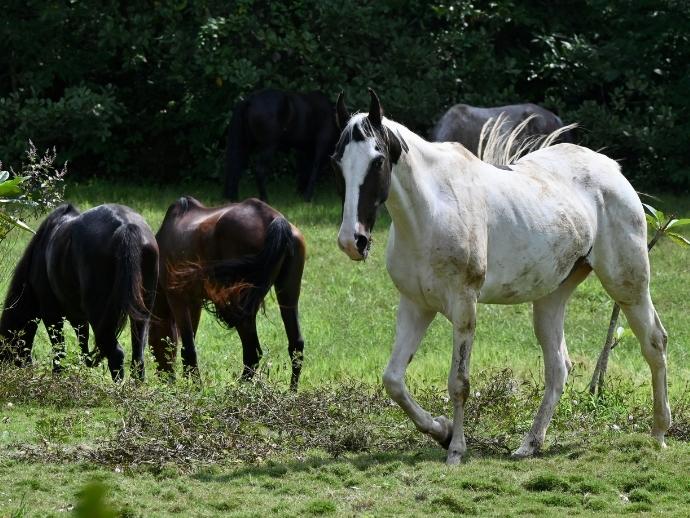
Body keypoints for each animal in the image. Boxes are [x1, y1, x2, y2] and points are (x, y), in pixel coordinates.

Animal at [0, 204, 159, 381]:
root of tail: (126, 226)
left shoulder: (51, 313)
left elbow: (59, 349)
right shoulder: (78, 317)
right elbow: (83, 344)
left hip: (98, 314)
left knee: (116, 353)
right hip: (141, 312)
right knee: (138, 357)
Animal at [149, 196, 306, 390]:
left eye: (152, 343)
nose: (164, 378)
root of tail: (275, 219)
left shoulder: (177, 298)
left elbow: (188, 348)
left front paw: (195, 387)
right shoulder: (194, 303)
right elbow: (189, 346)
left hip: (241, 304)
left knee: (252, 353)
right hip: (287, 293)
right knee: (296, 346)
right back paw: (292, 390)